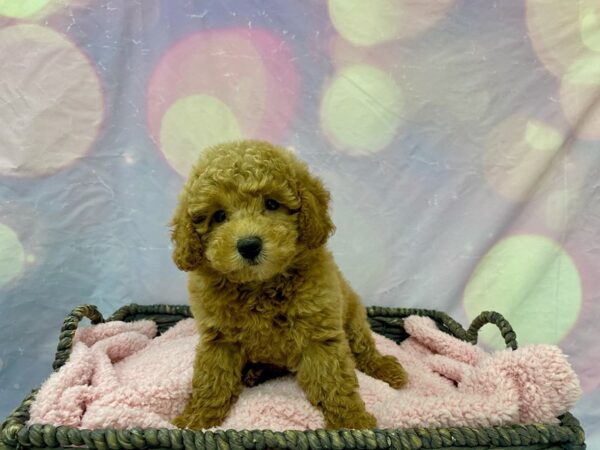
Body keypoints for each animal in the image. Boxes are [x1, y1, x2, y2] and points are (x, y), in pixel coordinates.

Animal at [171, 141, 410, 428]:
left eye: (272, 204)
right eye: (219, 216)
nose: (249, 245)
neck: (259, 286)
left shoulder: (319, 334)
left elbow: (333, 380)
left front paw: (352, 422)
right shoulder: (219, 339)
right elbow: (212, 379)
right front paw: (195, 420)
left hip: (354, 319)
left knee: (363, 350)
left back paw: (386, 368)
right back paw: (256, 372)